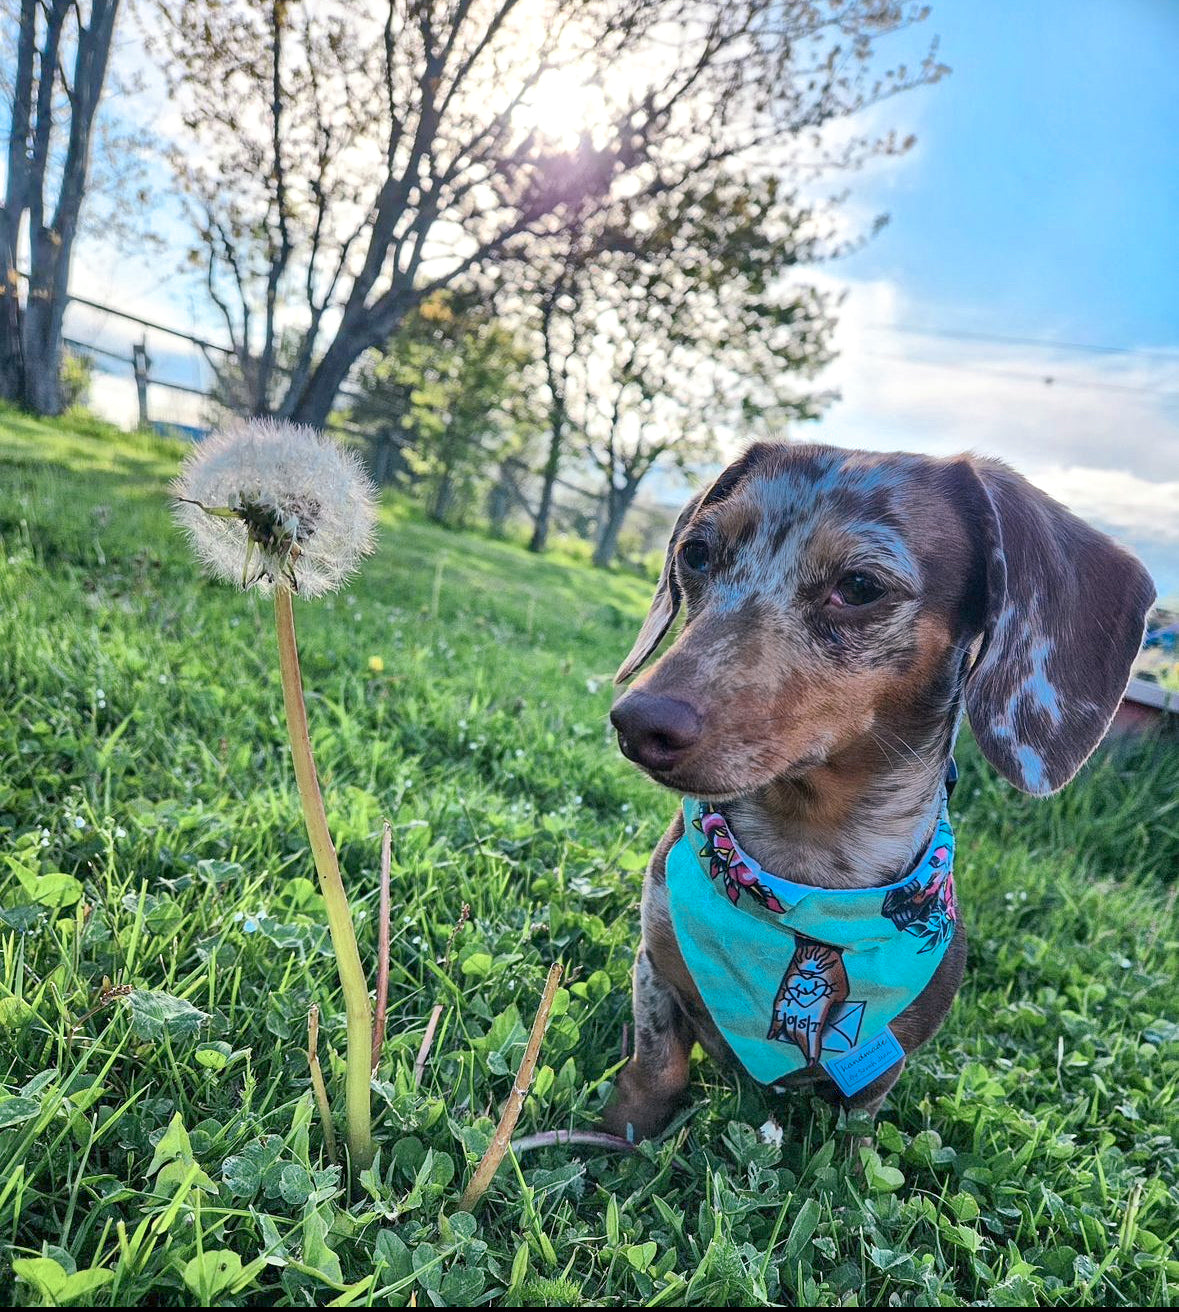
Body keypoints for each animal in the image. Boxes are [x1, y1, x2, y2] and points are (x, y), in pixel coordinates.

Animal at [603, 440, 1159, 1138]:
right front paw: (615, 1129)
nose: (638, 722)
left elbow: (852, 1136)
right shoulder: (653, 970)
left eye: (860, 587)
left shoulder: (878, 1065)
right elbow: (656, 1068)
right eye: (697, 553)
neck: (807, 861)